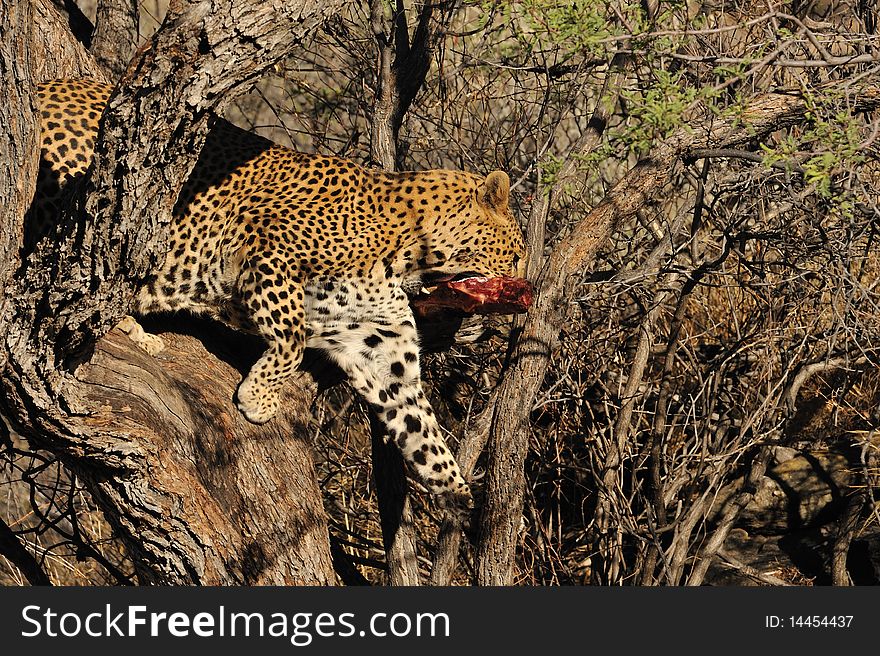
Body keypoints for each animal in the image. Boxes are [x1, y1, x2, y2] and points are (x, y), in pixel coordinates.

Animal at [32, 77, 528, 508]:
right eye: (518, 253)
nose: (528, 285)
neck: (408, 254)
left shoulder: (381, 350)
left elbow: (421, 427)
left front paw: (460, 498)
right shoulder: (267, 245)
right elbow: (291, 338)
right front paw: (259, 399)